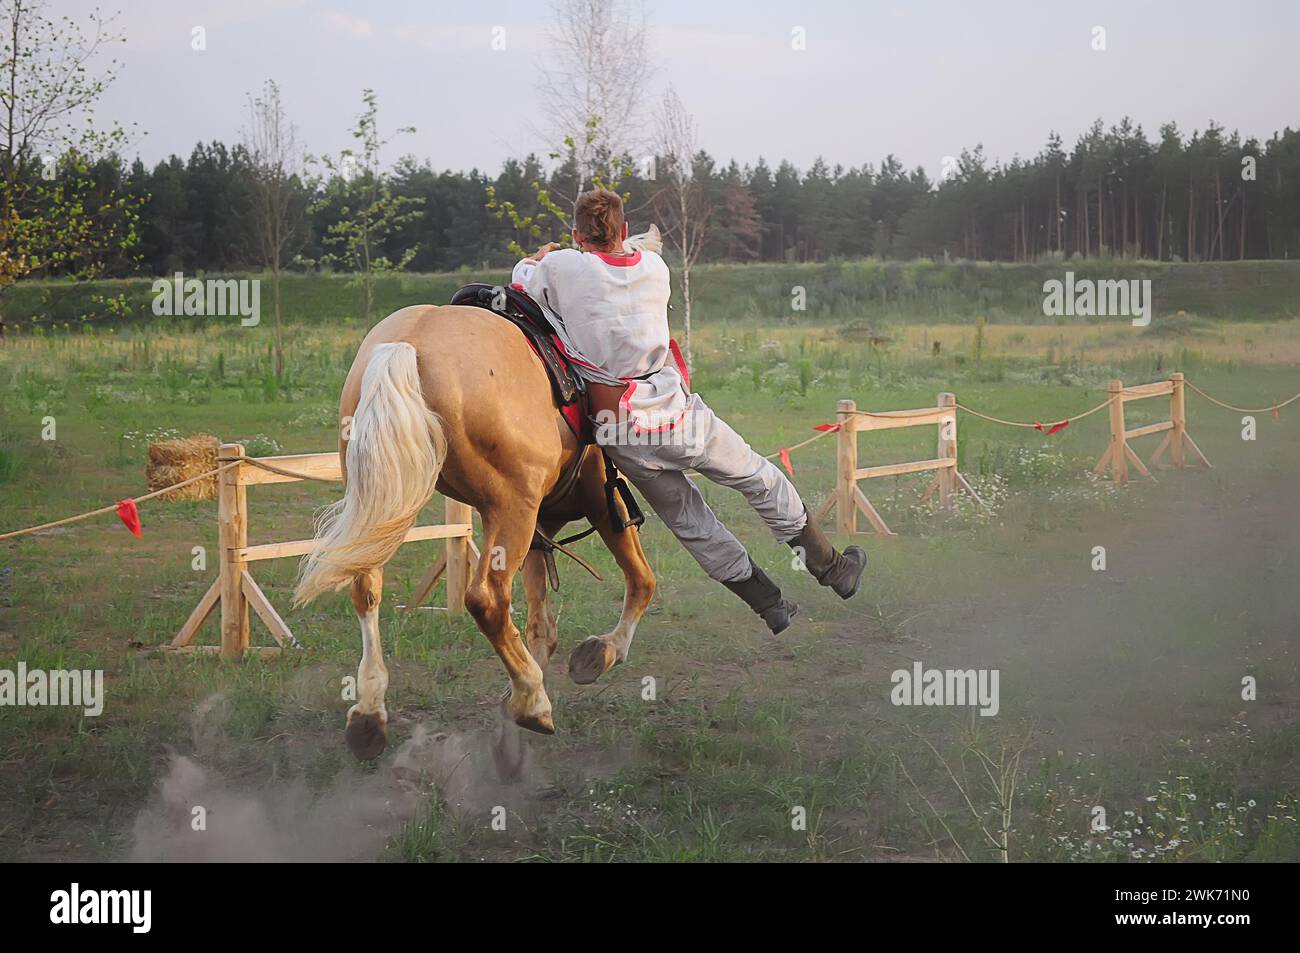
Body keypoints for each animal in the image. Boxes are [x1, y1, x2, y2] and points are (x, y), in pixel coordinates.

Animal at [292, 293, 657, 762]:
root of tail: (407, 343)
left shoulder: (540, 525)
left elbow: (541, 621)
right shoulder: (598, 495)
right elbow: (640, 580)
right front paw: (602, 651)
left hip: (388, 506)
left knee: (365, 586)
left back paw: (369, 713)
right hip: (512, 510)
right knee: (487, 598)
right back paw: (532, 701)